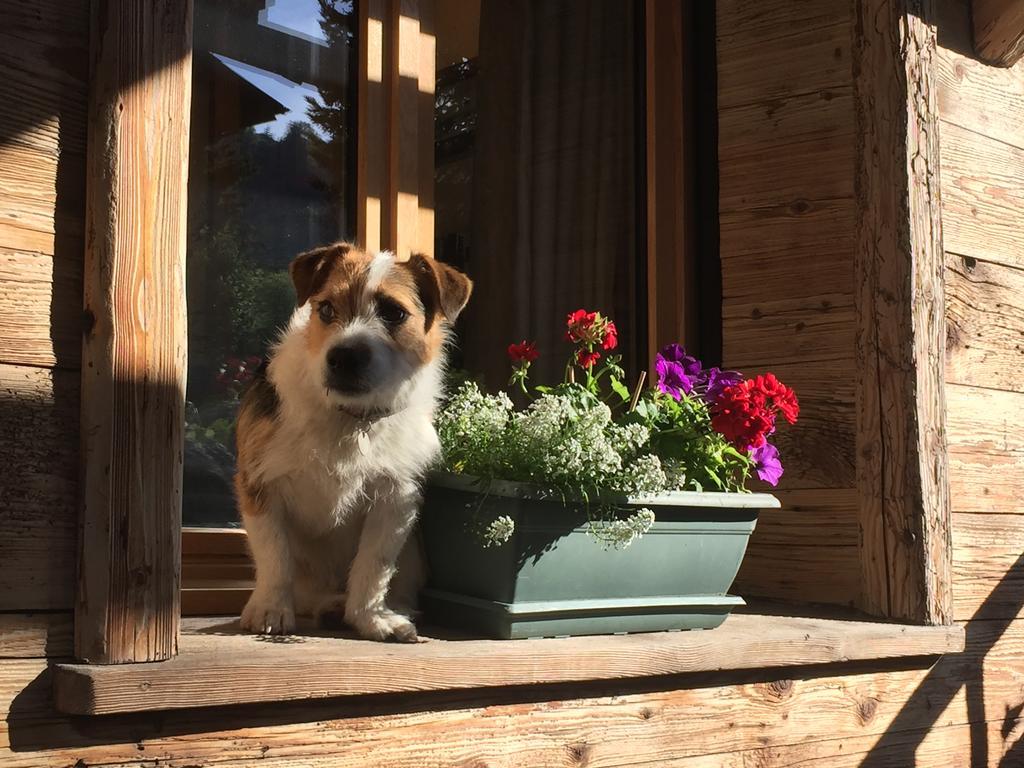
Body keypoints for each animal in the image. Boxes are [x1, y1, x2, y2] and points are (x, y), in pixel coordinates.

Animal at [234, 243, 471, 638]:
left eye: (394, 312)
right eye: (326, 309)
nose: (344, 356)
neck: (350, 418)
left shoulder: (395, 499)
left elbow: (374, 565)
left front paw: (370, 617)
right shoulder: (260, 485)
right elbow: (275, 555)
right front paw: (270, 608)